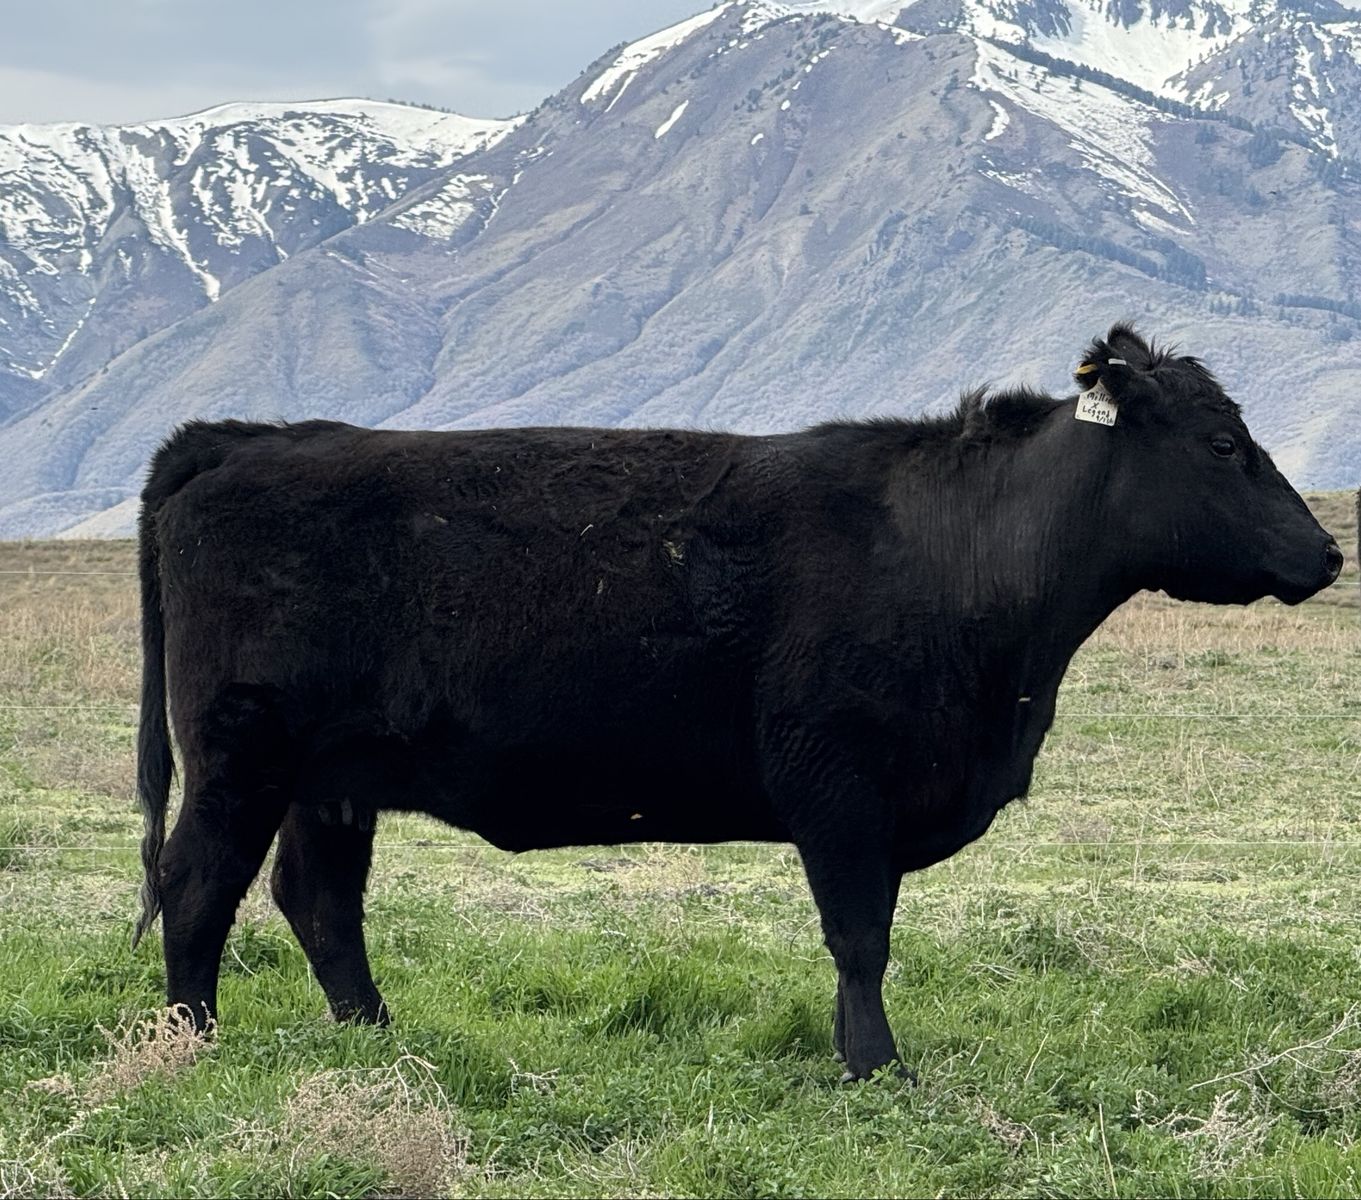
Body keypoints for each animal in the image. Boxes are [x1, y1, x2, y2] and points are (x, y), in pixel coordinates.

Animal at [131, 325, 1343, 1082]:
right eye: (1223, 443)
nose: (1327, 553)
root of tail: (243, 438)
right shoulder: (838, 785)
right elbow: (859, 937)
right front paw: (876, 1068)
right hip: (242, 755)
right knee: (195, 888)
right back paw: (192, 1045)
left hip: (330, 779)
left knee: (318, 902)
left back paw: (380, 1041)